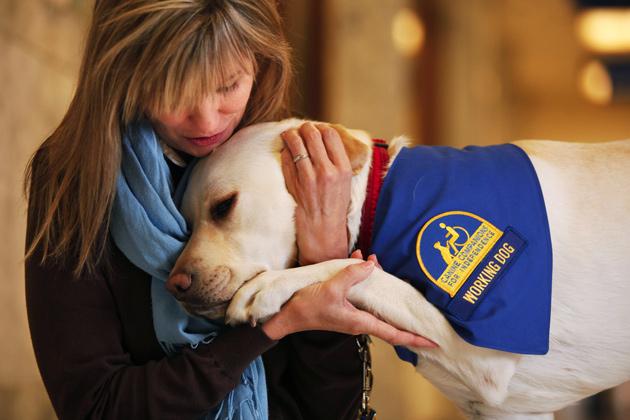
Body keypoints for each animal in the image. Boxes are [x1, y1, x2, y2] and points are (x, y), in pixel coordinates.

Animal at [167, 119, 630, 420]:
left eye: (224, 206)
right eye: (185, 221)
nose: (175, 285)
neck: (387, 197)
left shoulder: (489, 355)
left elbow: (364, 271)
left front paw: (271, 287)